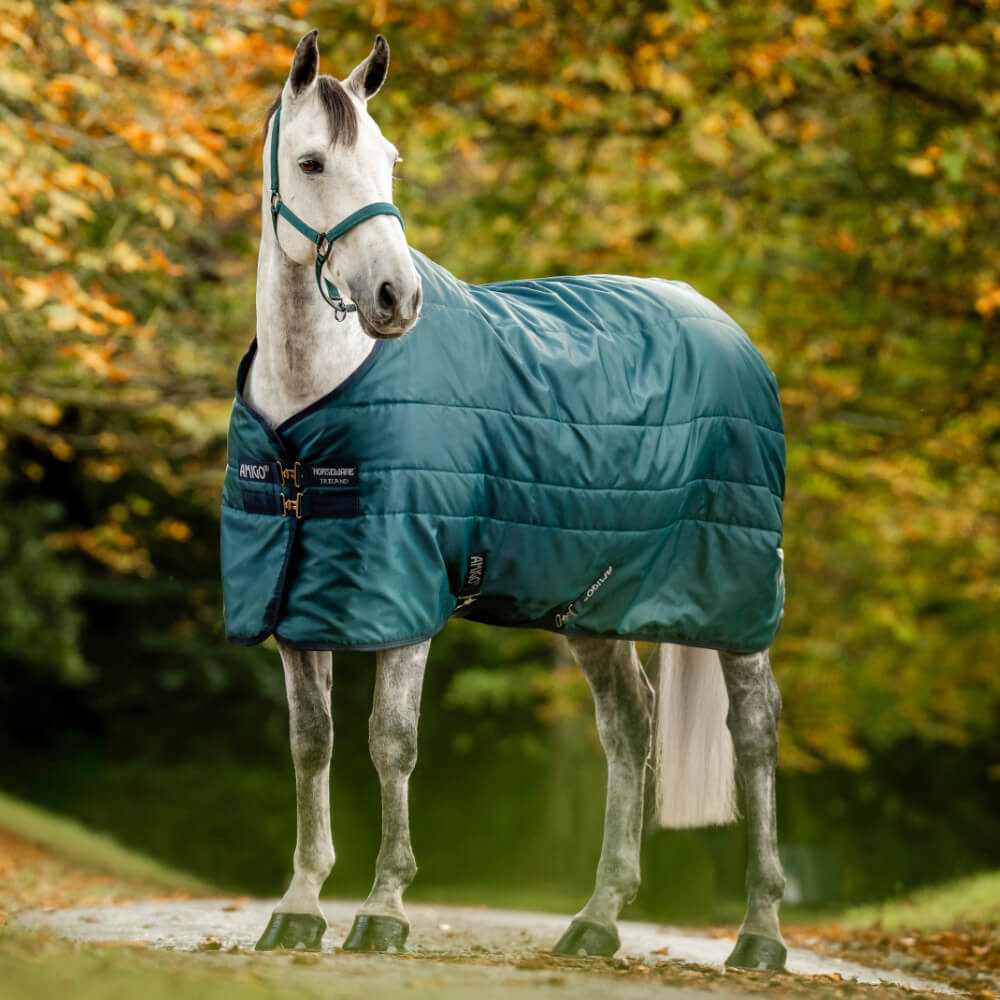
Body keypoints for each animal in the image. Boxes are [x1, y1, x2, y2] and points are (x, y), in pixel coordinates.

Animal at [227, 30, 787, 972]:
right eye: (311, 162)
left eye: (389, 161)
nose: (397, 298)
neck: (313, 405)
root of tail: (726, 327)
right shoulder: (297, 600)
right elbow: (312, 745)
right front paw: (299, 909)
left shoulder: (404, 594)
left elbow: (390, 741)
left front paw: (384, 912)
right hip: (594, 601)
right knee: (629, 726)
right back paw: (595, 922)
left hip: (736, 595)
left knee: (754, 731)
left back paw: (761, 934)